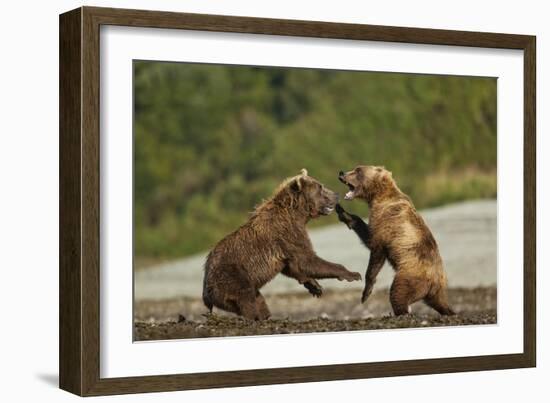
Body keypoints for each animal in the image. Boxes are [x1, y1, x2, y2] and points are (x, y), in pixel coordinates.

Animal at [203, 169, 362, 320]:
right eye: (320, 187)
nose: (336, 195)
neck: (298, 215)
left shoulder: (286, 245)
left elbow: (293, 266)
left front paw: (315, 286)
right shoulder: (288, 234)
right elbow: (306, 260)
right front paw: (353, 274)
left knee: (259, 302)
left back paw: (265, 317)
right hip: (233, 277)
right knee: (247, 301)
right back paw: (254, 317)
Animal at [338, 166, 454, 318]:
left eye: (358, 170)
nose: (341, 173)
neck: (378, 196)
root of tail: (435, 281)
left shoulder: (385, 223)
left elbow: (375, 250)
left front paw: (365, 293)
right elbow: (367, 233)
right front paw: (344, 214)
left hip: (410, 275)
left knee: (398, 293)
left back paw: (401, 312)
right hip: (435, 290)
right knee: (440, 303)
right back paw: (449, 311)